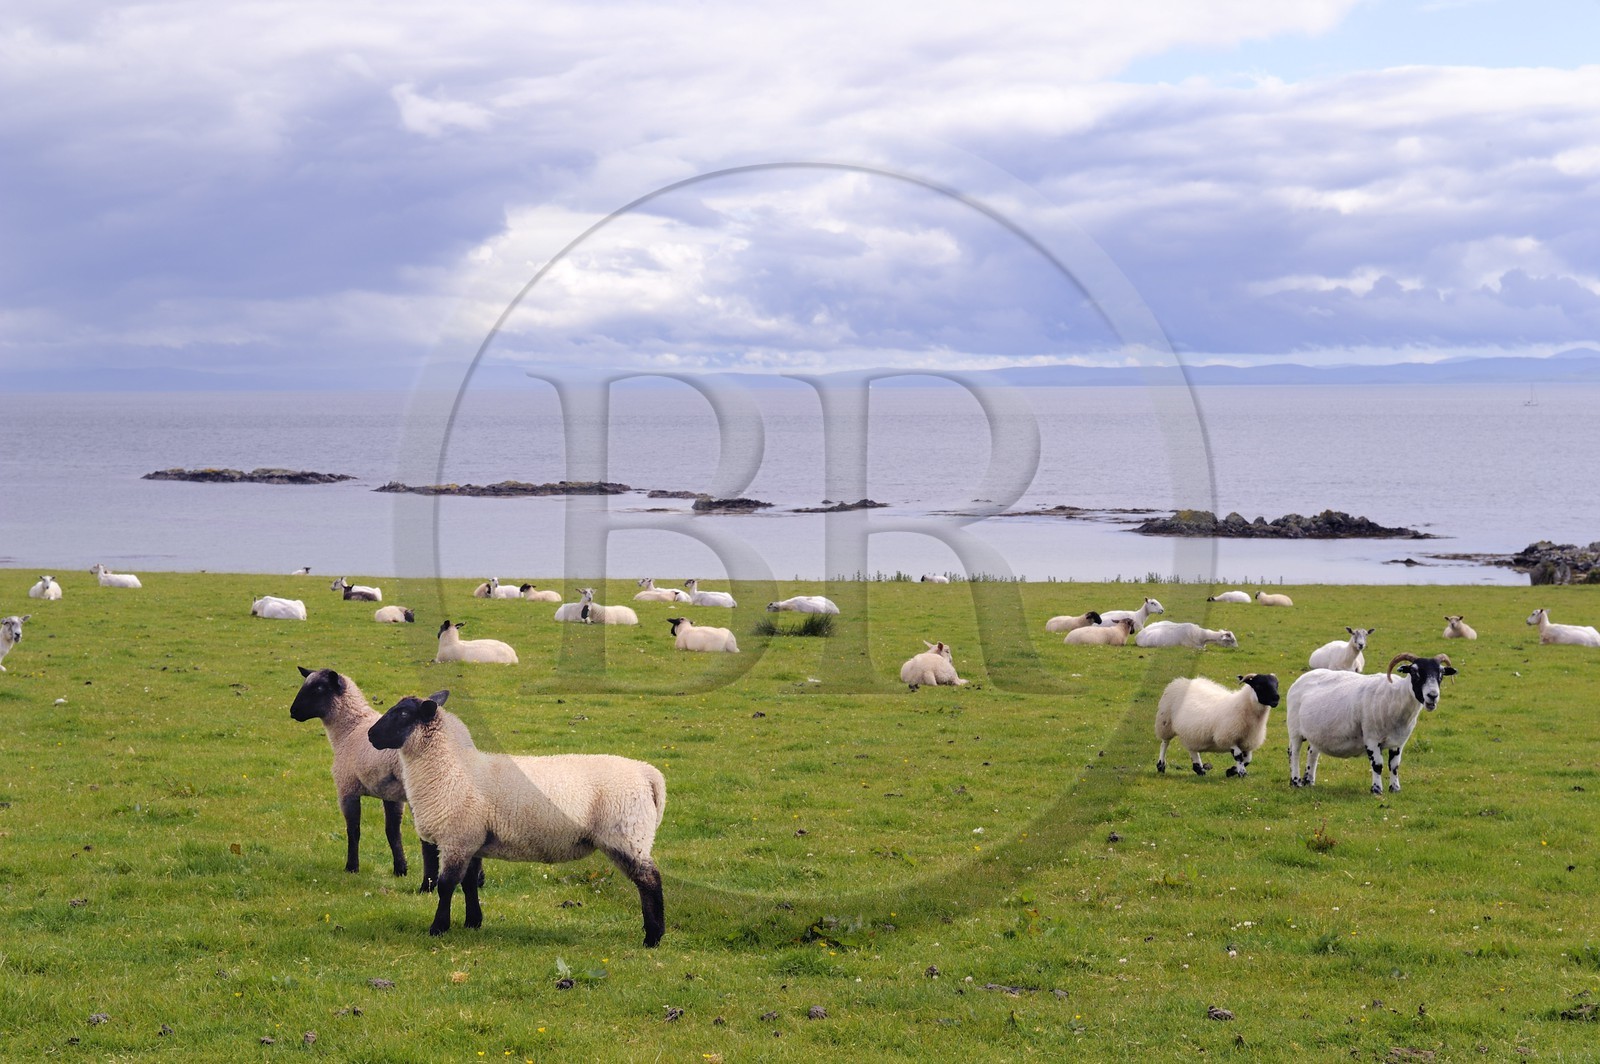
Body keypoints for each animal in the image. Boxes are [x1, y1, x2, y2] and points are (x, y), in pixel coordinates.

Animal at [289, 666, 443, 888]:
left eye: (319, 688)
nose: (293, 712)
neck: (349, 729)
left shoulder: (347, 789)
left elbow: (353, 831)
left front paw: (351, 867)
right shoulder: (391, 796)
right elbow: (392, 832)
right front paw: (400, 869)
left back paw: (428, 885)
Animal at [367, 691, 667, 946]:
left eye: (403, 714)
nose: (370, 735)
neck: (451, 767)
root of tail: (647, 773)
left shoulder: (457, 838)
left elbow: (446, 886)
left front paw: (438, 928)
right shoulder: (472, 840)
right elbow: (469, 883)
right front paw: (473, 922)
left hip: (627, 833)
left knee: (650, 880)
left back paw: (653, 937)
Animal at [1286, 652, 1458, 793]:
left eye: (1441, 673)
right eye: (1414, 672)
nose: (1432, 696)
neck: (1395, 698)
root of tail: (1301, 679)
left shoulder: (1399, 742)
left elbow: (1394, 765)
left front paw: (1395, 789)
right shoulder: (1371, 738)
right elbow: (1378, 765)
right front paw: (1376, 790)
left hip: (1317, 732)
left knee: (1312, 752)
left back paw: (1309, 781)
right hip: (1294, 729)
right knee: (1294, 753)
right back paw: (1295, 782)